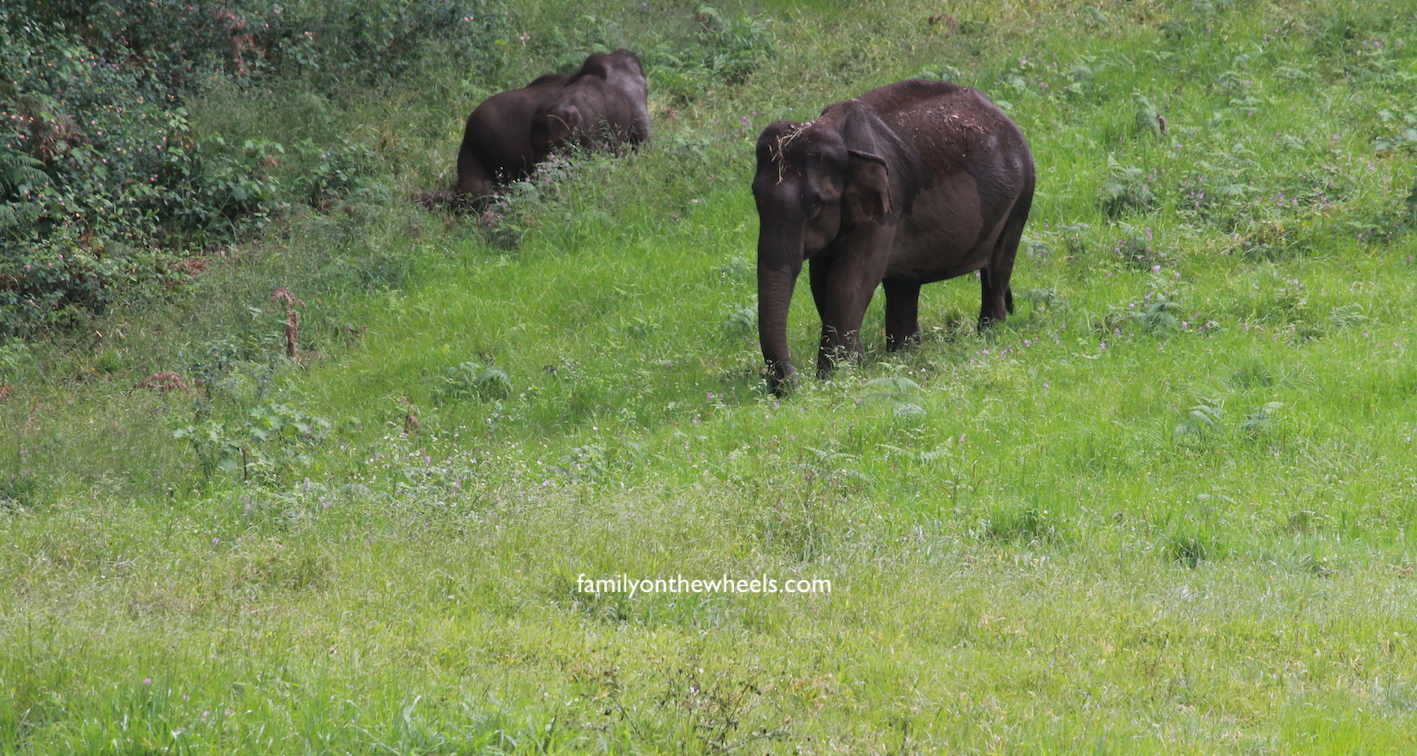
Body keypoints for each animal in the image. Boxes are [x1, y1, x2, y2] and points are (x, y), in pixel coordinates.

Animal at [748, 78, 1037, 396]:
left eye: (815, 203)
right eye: (755, 196)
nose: (790, 386)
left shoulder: (887, 206)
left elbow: (849, 282)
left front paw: (833, 378)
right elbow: (821, 283)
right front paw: (856, 367)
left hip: (1022, 194)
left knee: (997, 268)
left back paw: (989, 334)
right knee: (904, 286)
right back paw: (906, 354)